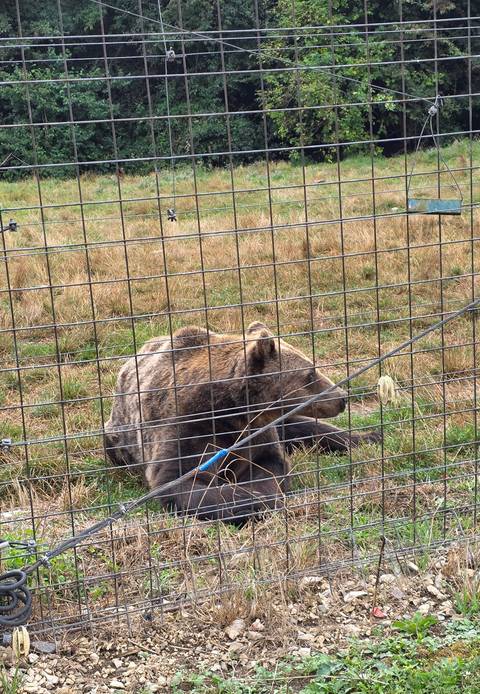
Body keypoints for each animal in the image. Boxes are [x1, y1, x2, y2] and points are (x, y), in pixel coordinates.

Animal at [104, 322, 380, 522]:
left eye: (313, 367)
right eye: (310, 374)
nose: (342, 398)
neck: (230, 411)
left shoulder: (256, 432)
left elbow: (268, 464)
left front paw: (265, 496)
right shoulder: (189, 428)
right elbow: (182, 482)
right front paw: (254, 503)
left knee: (305, 427)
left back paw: (368, 437)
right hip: (115, 436)